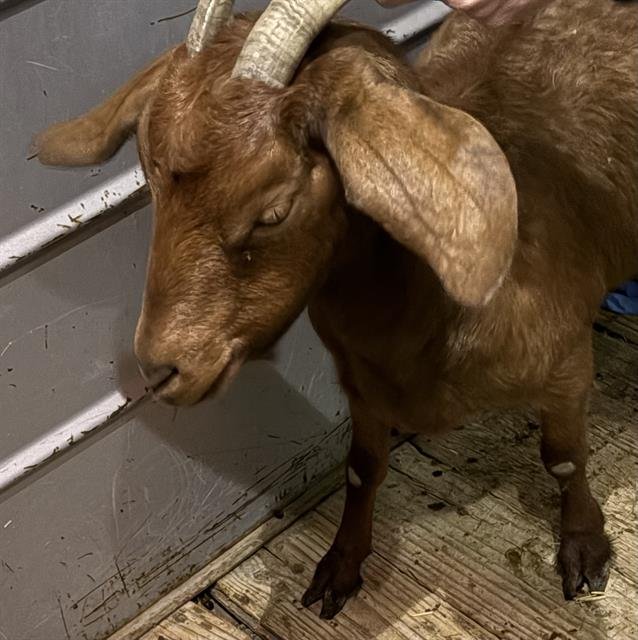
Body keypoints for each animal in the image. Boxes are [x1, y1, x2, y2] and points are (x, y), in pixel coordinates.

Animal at [35, 0, 638, 620]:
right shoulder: (361, 384)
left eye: (273, 211)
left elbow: (564, 456)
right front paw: (340, 566)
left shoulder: (567, 365)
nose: (159, 369)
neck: (431, 317)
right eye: (149, 181)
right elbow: (361, 468)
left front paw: (585, 550)